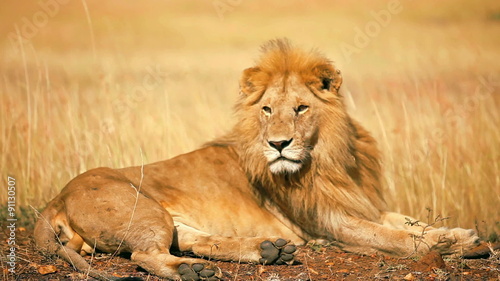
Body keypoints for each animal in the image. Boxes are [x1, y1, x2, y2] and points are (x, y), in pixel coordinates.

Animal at [35, 38, 480, 278]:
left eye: (301, 108)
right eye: (266, 110)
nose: (278, 144)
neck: (328, 162)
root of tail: (56, 198)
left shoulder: (359, 203)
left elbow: (407, 222)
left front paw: (459, 235)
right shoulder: (330, 223)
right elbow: (397, 237)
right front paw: (453, 243)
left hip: (163, 217)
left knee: (193, 240)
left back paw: (268, 250)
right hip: (144, 210)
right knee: (147, 254)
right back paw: (192, 271)